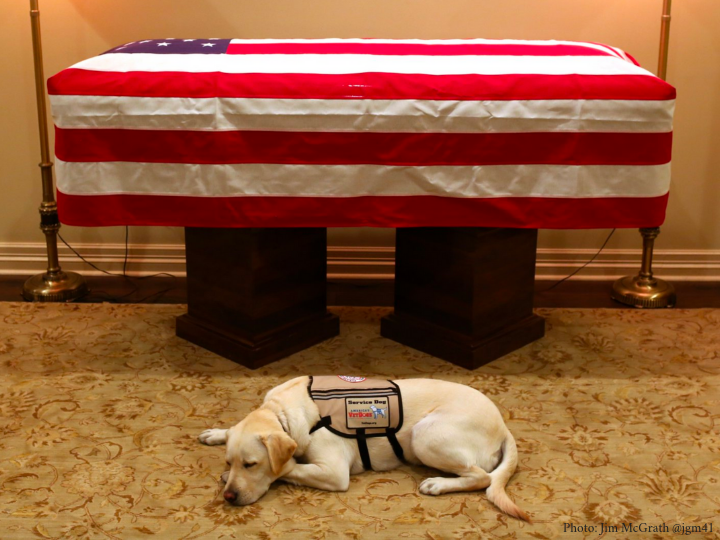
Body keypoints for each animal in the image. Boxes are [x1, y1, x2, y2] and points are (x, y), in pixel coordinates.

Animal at [198, 378, 528, 520]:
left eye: (251, 464)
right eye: (230, 460)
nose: (229, 497)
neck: (281, 412)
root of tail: (503, 425)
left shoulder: (333, 473)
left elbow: (289, 467)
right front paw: (218, 434)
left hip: (425, 435)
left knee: (482, 477)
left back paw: (437, 484)